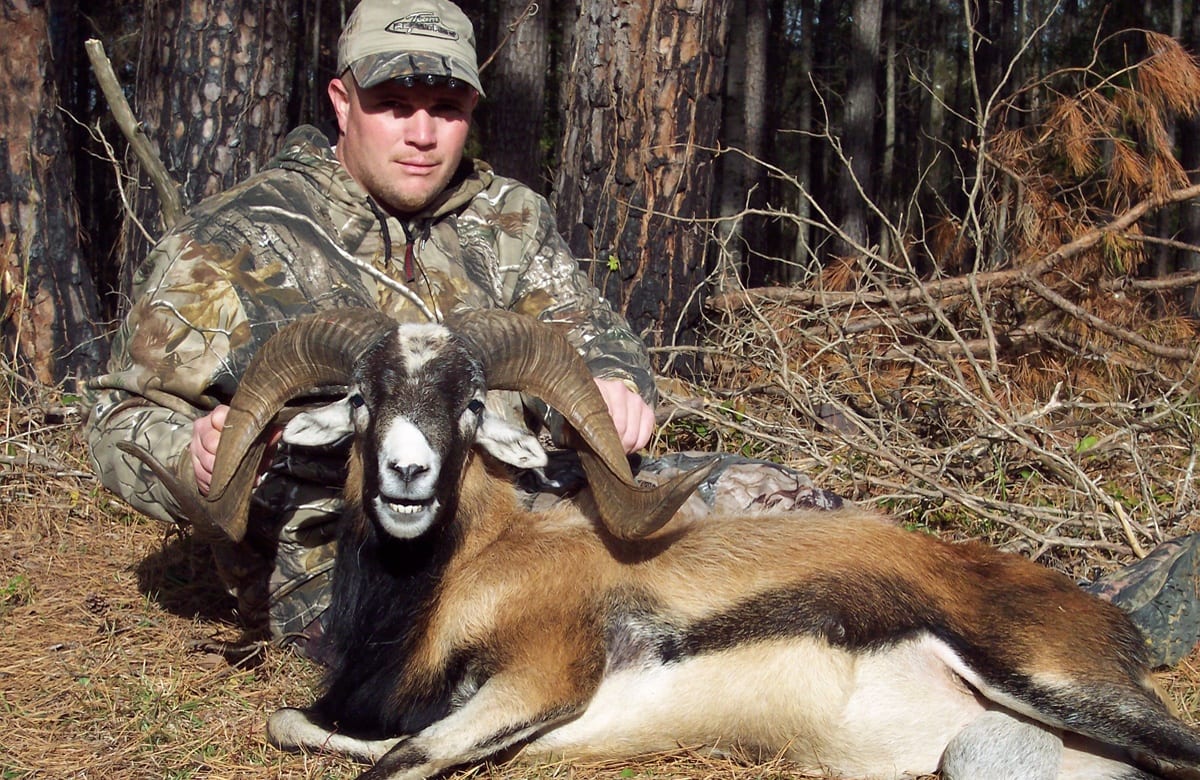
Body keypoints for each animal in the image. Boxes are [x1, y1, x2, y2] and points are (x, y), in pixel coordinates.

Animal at [120, 307, 1200, 780]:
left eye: (468, 403)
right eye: (360, 398)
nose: (408, 477)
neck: (446, 588)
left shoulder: (541, 680)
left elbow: (398, 764)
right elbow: (303, 727)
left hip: (1062, 688)